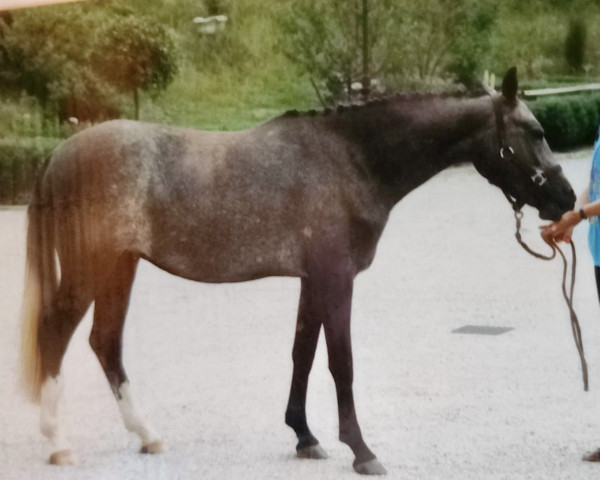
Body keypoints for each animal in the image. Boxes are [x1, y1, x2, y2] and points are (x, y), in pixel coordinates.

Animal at [19, 67, 576, 476]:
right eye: (535, 132)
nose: (566, 200)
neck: (351, 159)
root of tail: (59, 154)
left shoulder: (313, 280)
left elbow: (302, 354)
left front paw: (304, 436)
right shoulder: (336, 278)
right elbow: (340, 363)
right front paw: (362, 451)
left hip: (120, 268)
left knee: (105, 342)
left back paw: (147, 435)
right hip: (91, 270)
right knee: (54, 333)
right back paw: (58, 444)